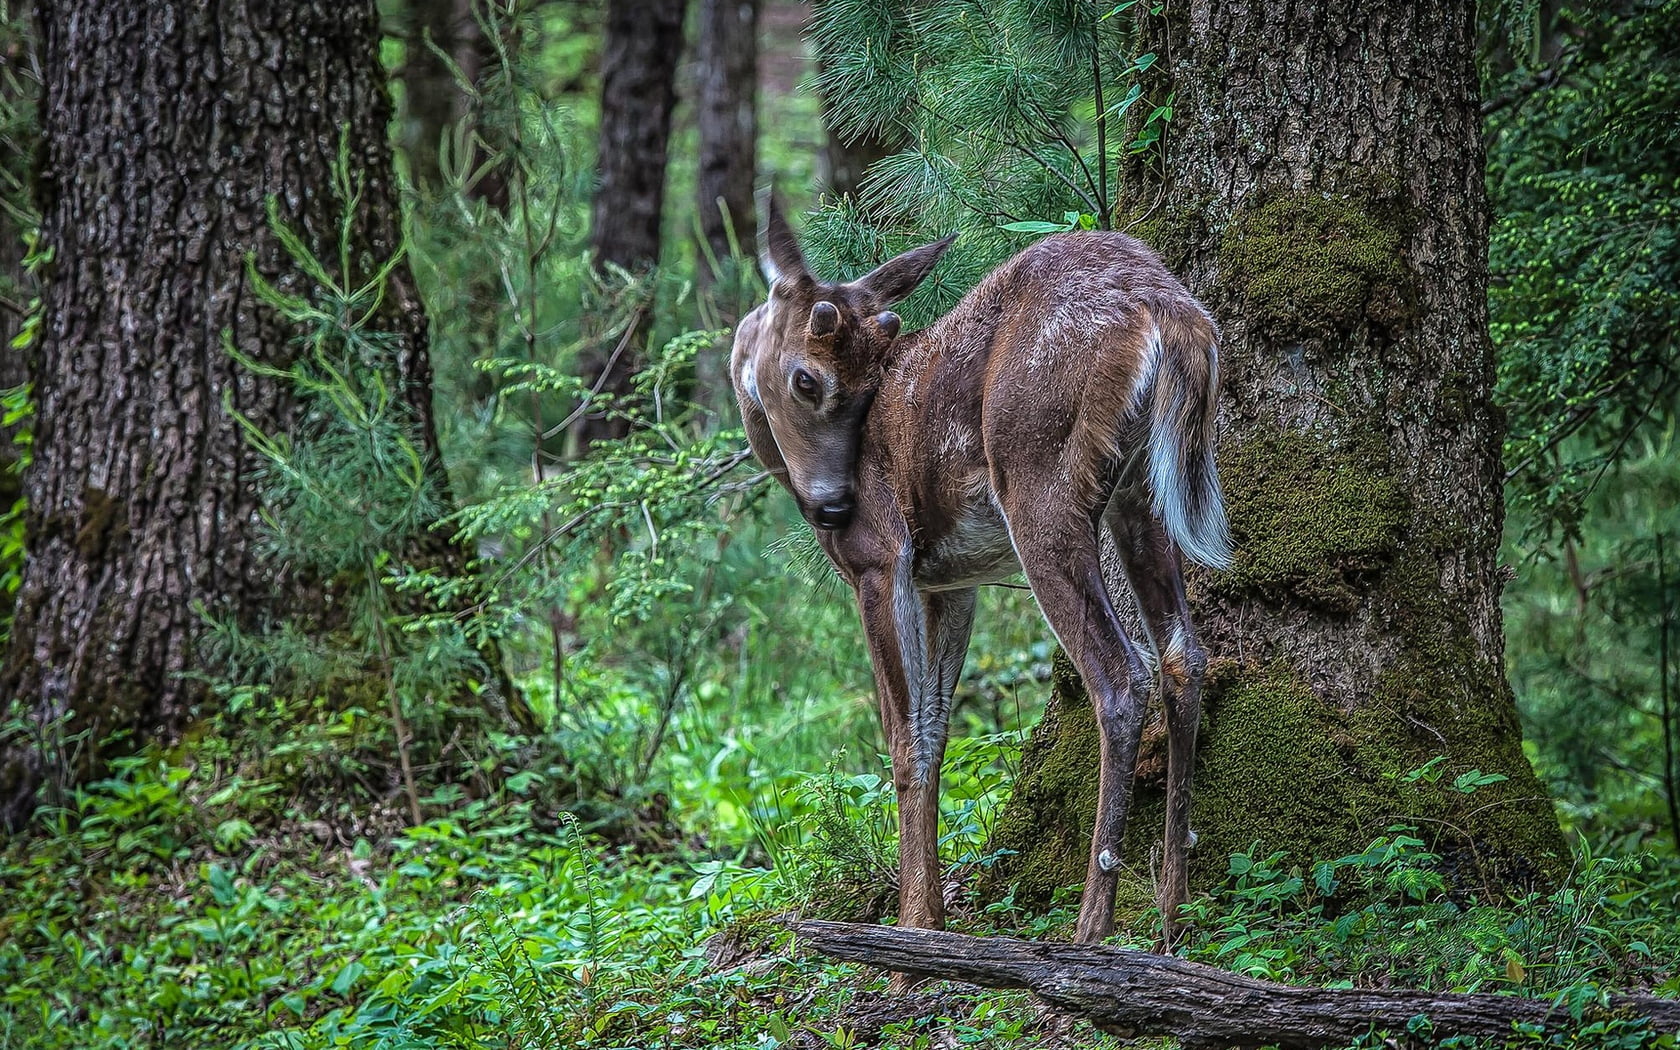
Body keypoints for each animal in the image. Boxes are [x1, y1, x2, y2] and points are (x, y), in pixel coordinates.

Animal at [729, 199, 1230, 950]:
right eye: (810, 379)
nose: (836, 507)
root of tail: (1168, 310)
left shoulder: (884, 561)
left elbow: (904, 740)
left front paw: (910, 936)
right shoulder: (950, 581)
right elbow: (937, 730)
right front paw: (931, 920)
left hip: (1039, 480)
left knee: (1120, 674)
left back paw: (1090, 927)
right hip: (1141, 493)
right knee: (1184, 656)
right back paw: (1173, 914)